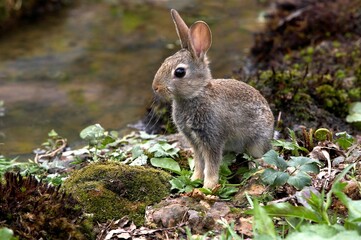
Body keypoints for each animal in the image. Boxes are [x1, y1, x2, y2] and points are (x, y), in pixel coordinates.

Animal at [152, 9, 272, 189]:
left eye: (179, 72)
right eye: (165, 61)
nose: (155, 87)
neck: (195, 95)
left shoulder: (212, 138)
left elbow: (211, 164)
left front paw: (207, 187)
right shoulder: (194, 141)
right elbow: (199, 162)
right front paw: (195, 179)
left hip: (256, 142)